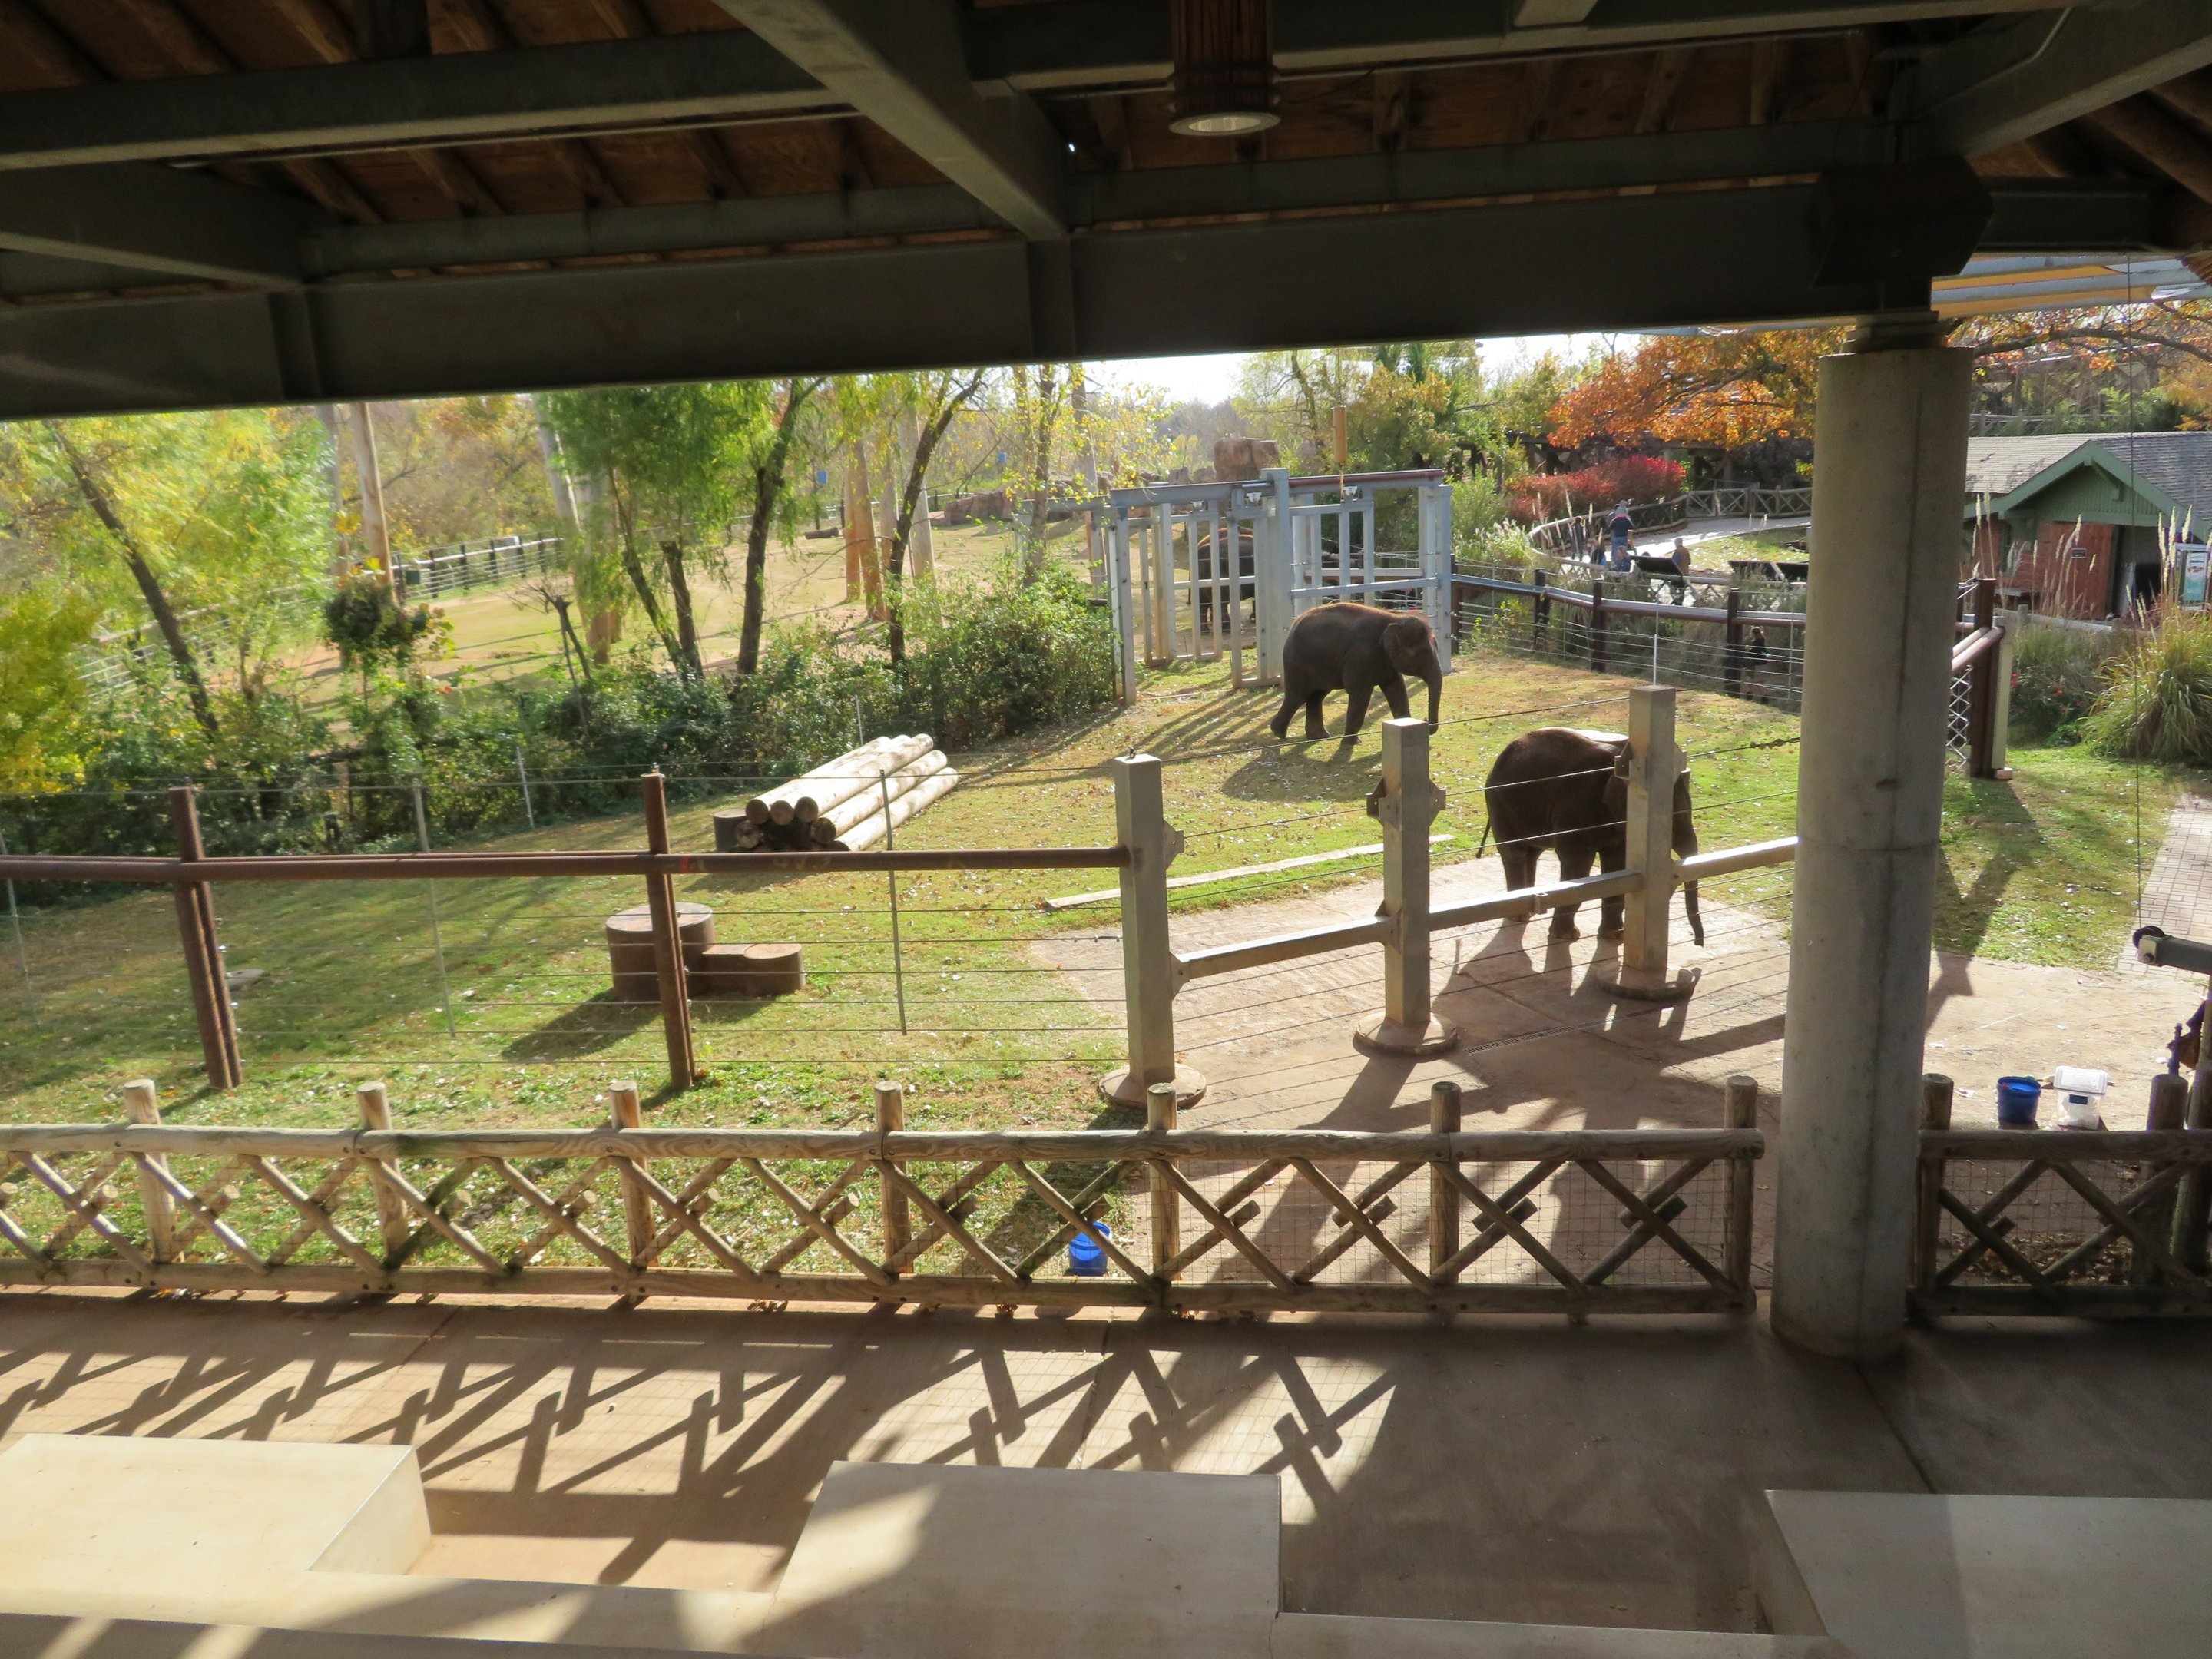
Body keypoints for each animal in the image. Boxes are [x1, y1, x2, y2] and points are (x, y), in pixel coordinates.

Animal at [1269, 602, 1443, 740]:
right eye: (1422, 655)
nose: (1425, 719)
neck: (1396, 618)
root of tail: (1294, 624)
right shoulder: (1361, 656)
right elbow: (1360, 695)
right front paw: (1352, 742)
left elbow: (1397, 691)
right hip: (1297, 662)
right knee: (1297, 696)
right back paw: (1279, 733)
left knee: (1317, 696)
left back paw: (1320, 736)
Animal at [1482, 726, 1705, 944]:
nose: (1698, 942)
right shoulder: (1576, 804)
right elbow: (1578, 862)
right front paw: (1566, 937)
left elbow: (1616, 864)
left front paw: (1616, 935)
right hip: (1499, 802)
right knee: (1515, 853)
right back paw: (1519, 916)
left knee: (1532, 852)